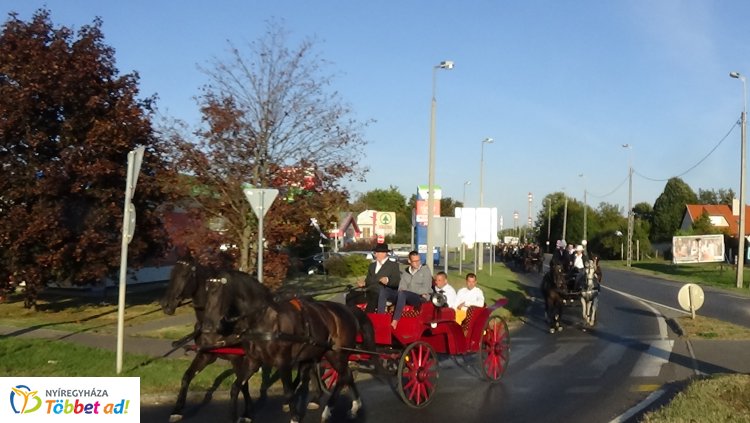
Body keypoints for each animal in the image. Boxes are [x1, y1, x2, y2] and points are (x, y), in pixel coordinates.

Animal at [203, 270, 376, 422]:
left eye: (218, 292)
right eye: (206, 291)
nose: (207, 327)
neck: (266, 320)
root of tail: (347, 310)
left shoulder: (283, 361)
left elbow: (288, 392)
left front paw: (294, 418)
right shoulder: (253, 361)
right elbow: (235, 387)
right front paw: (238, 416)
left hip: (336, 354)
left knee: (344, 375)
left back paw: (328, 410)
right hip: (324, 352)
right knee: (347, 375)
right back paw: (354, 406)